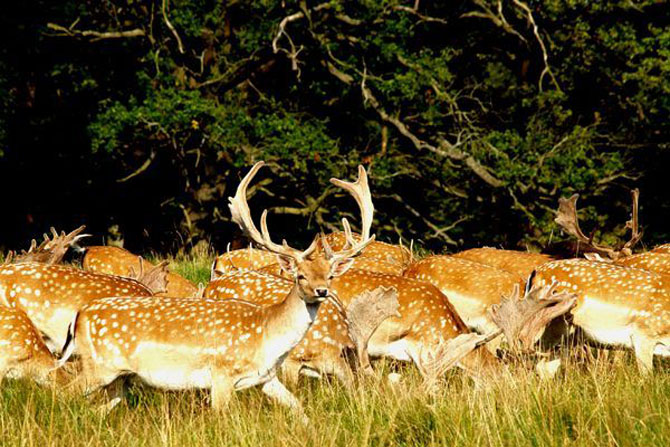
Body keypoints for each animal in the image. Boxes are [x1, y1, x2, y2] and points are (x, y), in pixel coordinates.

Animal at [59, 160, 378, 412]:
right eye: (300, 275)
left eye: (330, 275)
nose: (321, 291)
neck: (267, 336)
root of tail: (79, 317)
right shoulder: (222, 376)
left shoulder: (266, 378)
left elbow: (300, 410)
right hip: (98, 367)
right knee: (60, 391)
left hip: (119, 379)